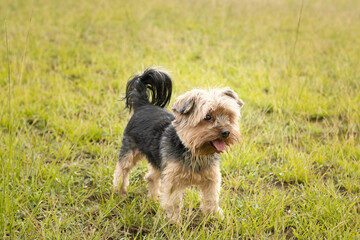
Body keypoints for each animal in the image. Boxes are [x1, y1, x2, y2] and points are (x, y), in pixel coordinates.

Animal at [112, 67, 245, 223]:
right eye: (207, 117)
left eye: (228, 116)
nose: (226, 132)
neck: (195, 151)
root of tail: (144, 105)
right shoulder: (173, 179)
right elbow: (173, 202)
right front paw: (173, 222)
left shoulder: (210, 178)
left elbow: (211, 199)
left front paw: (215, 216)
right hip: (130, 150)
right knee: (122, 170)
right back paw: (120, 192)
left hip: (158, 160)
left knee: (151, 176)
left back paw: (153, 199)